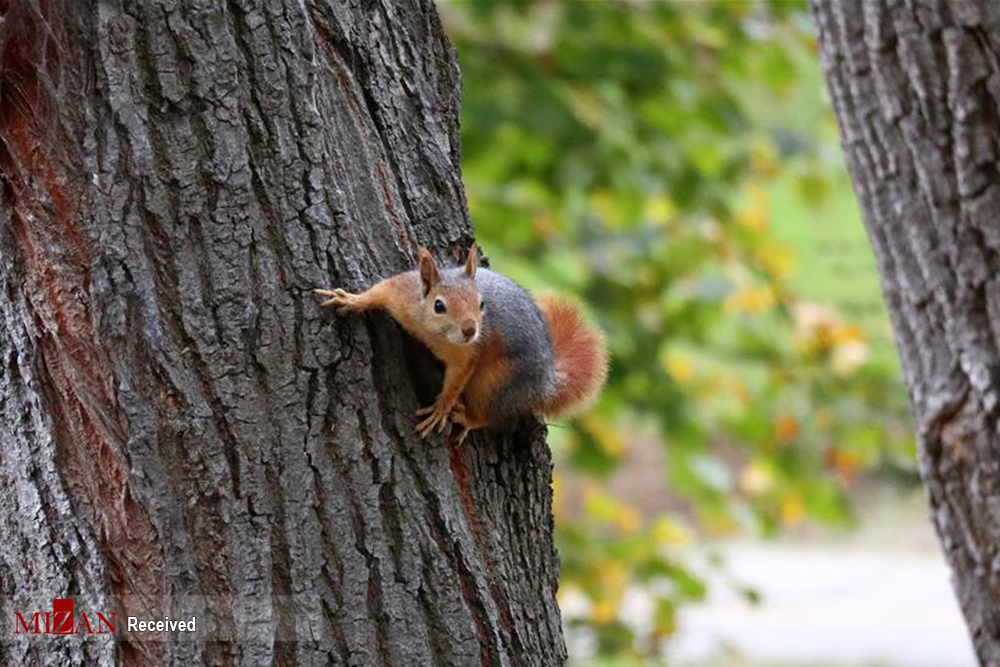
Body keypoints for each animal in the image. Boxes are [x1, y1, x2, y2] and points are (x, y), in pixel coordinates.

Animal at [316, 245, 604, 444]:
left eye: (481, 303)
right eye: (439, 306)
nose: (470, 330)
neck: (432, 332)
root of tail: (544, 384)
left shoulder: (467, 354)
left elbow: (457, 379)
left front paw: (442, 408)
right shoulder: (401, 292)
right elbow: (379, 290)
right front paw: (352, 300)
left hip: (497, 383)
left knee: (492, 414)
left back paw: (468, 418)